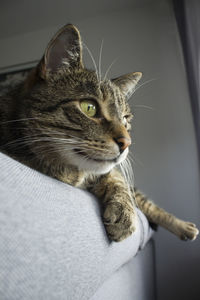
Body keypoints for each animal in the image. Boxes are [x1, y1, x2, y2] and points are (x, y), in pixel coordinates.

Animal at [0, 24, 198, 243]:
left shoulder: (111, 173)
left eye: (125, 120)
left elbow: (117, 181)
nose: (127, 143)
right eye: (89, 108)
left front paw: (124, 213)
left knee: (146, 202)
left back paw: (185, 227)